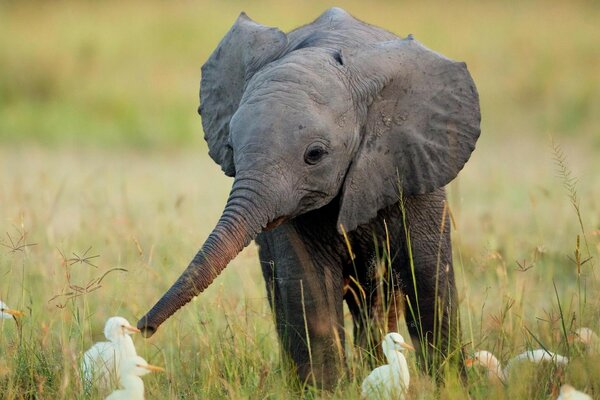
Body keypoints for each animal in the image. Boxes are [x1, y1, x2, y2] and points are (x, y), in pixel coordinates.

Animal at [138, 5, 480, 388]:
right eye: (231, 148)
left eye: (314, 155)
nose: (143, 328)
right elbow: (308, 285)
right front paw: (326, 390)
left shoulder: (413, 165)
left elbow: (429, 278)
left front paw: (452, 386)